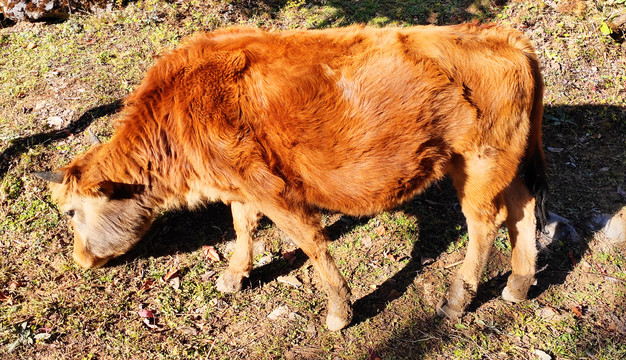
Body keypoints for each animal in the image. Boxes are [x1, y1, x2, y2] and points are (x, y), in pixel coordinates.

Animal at [34, 23, 544, 330]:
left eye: (72, 211)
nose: (80, 260)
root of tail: (506, 38)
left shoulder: (273, 190)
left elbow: (311, 242)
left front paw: (339, 312)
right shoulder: (240, 188)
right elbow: (243, 228)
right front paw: (234, 276)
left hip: (479, 163)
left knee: (484, 224)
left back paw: (458, 298)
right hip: (509, 164)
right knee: (524, 210)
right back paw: (518, 285)